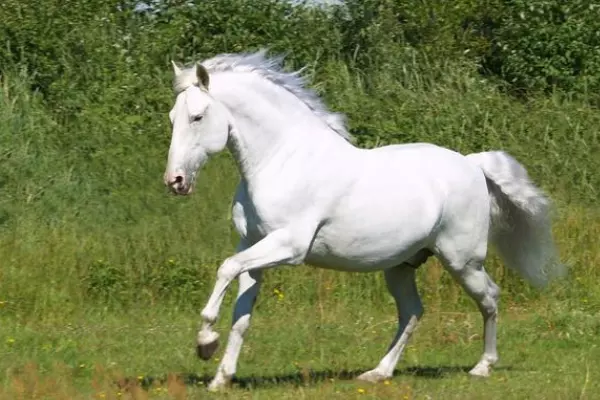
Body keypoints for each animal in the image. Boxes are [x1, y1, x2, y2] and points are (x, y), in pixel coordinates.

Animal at [162, 50, 564, 390]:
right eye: (172, 118)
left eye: (197, 117)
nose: (175, 181)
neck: (281, 160)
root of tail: (471, 164)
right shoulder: (253, 246)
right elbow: (242, 315)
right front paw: (220, 377)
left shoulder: (288, 246)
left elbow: (226, 269)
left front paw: (205, 343)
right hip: (401, 266)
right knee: (412, 312)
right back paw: (377, 372)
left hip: (462, 260)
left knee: (489, 298)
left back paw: (482, 366)